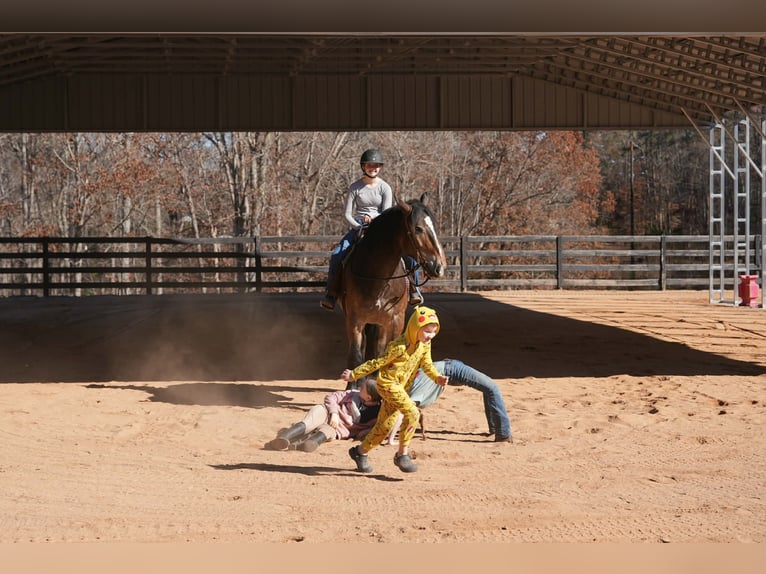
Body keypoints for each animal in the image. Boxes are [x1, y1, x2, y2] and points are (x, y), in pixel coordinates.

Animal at [337, 194, 447, 388]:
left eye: (433, 226)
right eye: (418, 228)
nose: (439, 267)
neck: (377, 277)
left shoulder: (395, 320)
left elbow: (388, 353)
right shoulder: (354, 320)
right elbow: (356, 354)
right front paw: (351, 387)